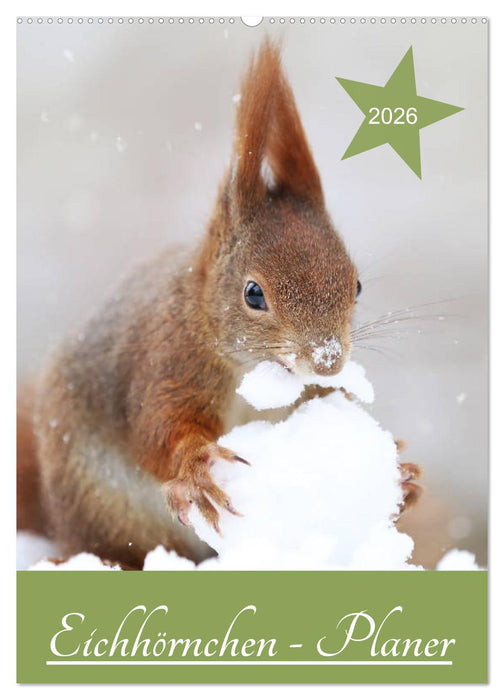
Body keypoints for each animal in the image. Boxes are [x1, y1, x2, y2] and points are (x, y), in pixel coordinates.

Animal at [17, 40, 421, 570]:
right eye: (253, 293)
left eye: (356, 286)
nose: (328, 362)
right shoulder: (167, 363)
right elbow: (159, 429)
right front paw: (196, 467)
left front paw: (404, 476)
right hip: (103, 509)